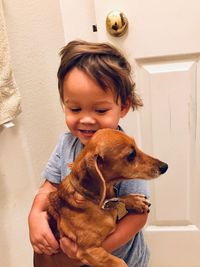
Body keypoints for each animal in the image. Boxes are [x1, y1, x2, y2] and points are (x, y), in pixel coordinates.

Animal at [33, 129, 168, 266]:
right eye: (131, 154)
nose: (165, 166)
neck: (93, 201)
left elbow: (118, 197)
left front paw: (135, 201)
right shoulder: (87, 251)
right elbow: (120, 262)